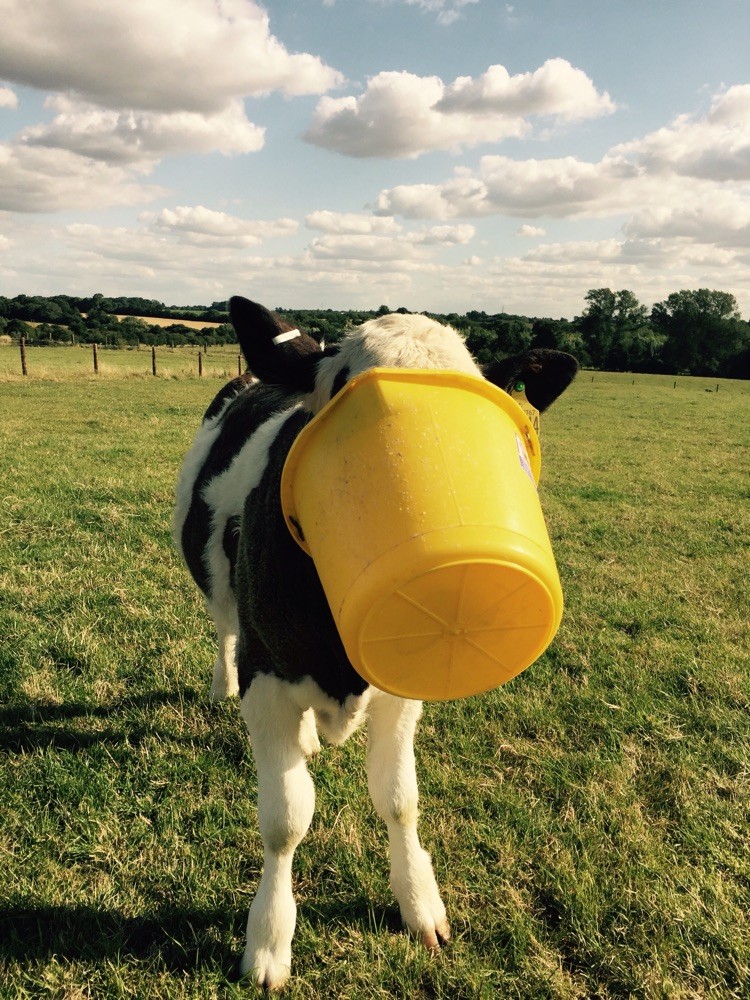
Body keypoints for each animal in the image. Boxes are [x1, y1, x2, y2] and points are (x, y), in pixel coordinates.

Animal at [173, 294, 580, 984]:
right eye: (344, 390)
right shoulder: (267, 675)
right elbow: (285, 819)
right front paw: (268, 941)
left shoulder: (402, 682)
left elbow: (399, 800)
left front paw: (420, 903)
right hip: (219, 586)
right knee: (224, 627)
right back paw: (220, 684)